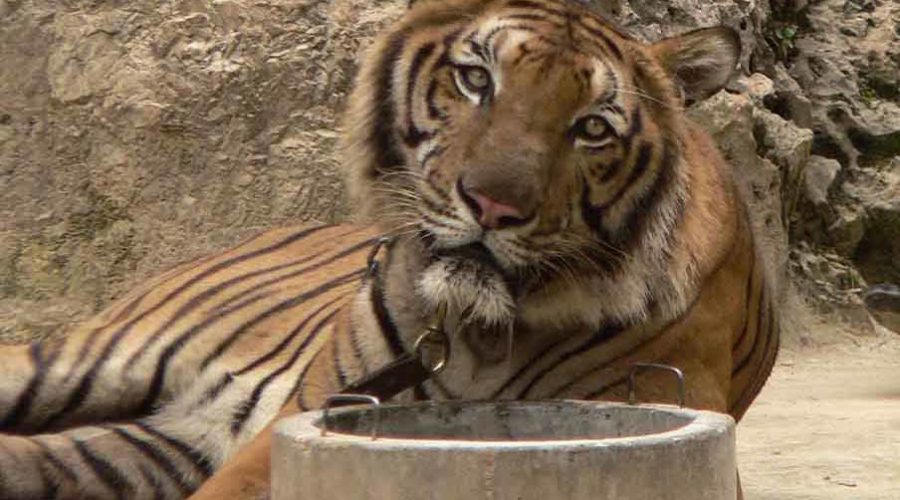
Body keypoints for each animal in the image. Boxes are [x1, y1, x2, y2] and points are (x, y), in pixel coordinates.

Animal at [0, 0, 779, 498]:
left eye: (591, 127)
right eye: (476, 80)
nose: (492, 205)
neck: (481, 333)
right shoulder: (299, 424)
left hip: (149, 446)